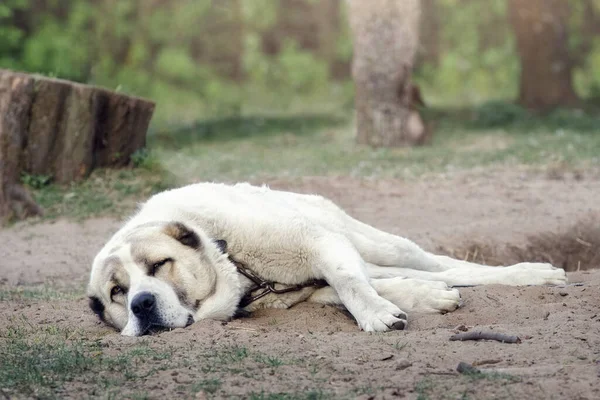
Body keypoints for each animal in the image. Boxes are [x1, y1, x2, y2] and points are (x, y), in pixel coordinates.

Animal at [85, 183, 568, 336]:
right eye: (117, 292)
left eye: (158, 265)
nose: (141, 305)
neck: (232, 258)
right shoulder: (306, 287)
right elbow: (350, 289)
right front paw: (417, 300)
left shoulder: (317, 242)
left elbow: (348, 283)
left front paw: (375, 316)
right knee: (407, 275)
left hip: (374, 242)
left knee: (449, 264)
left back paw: (534, 274)